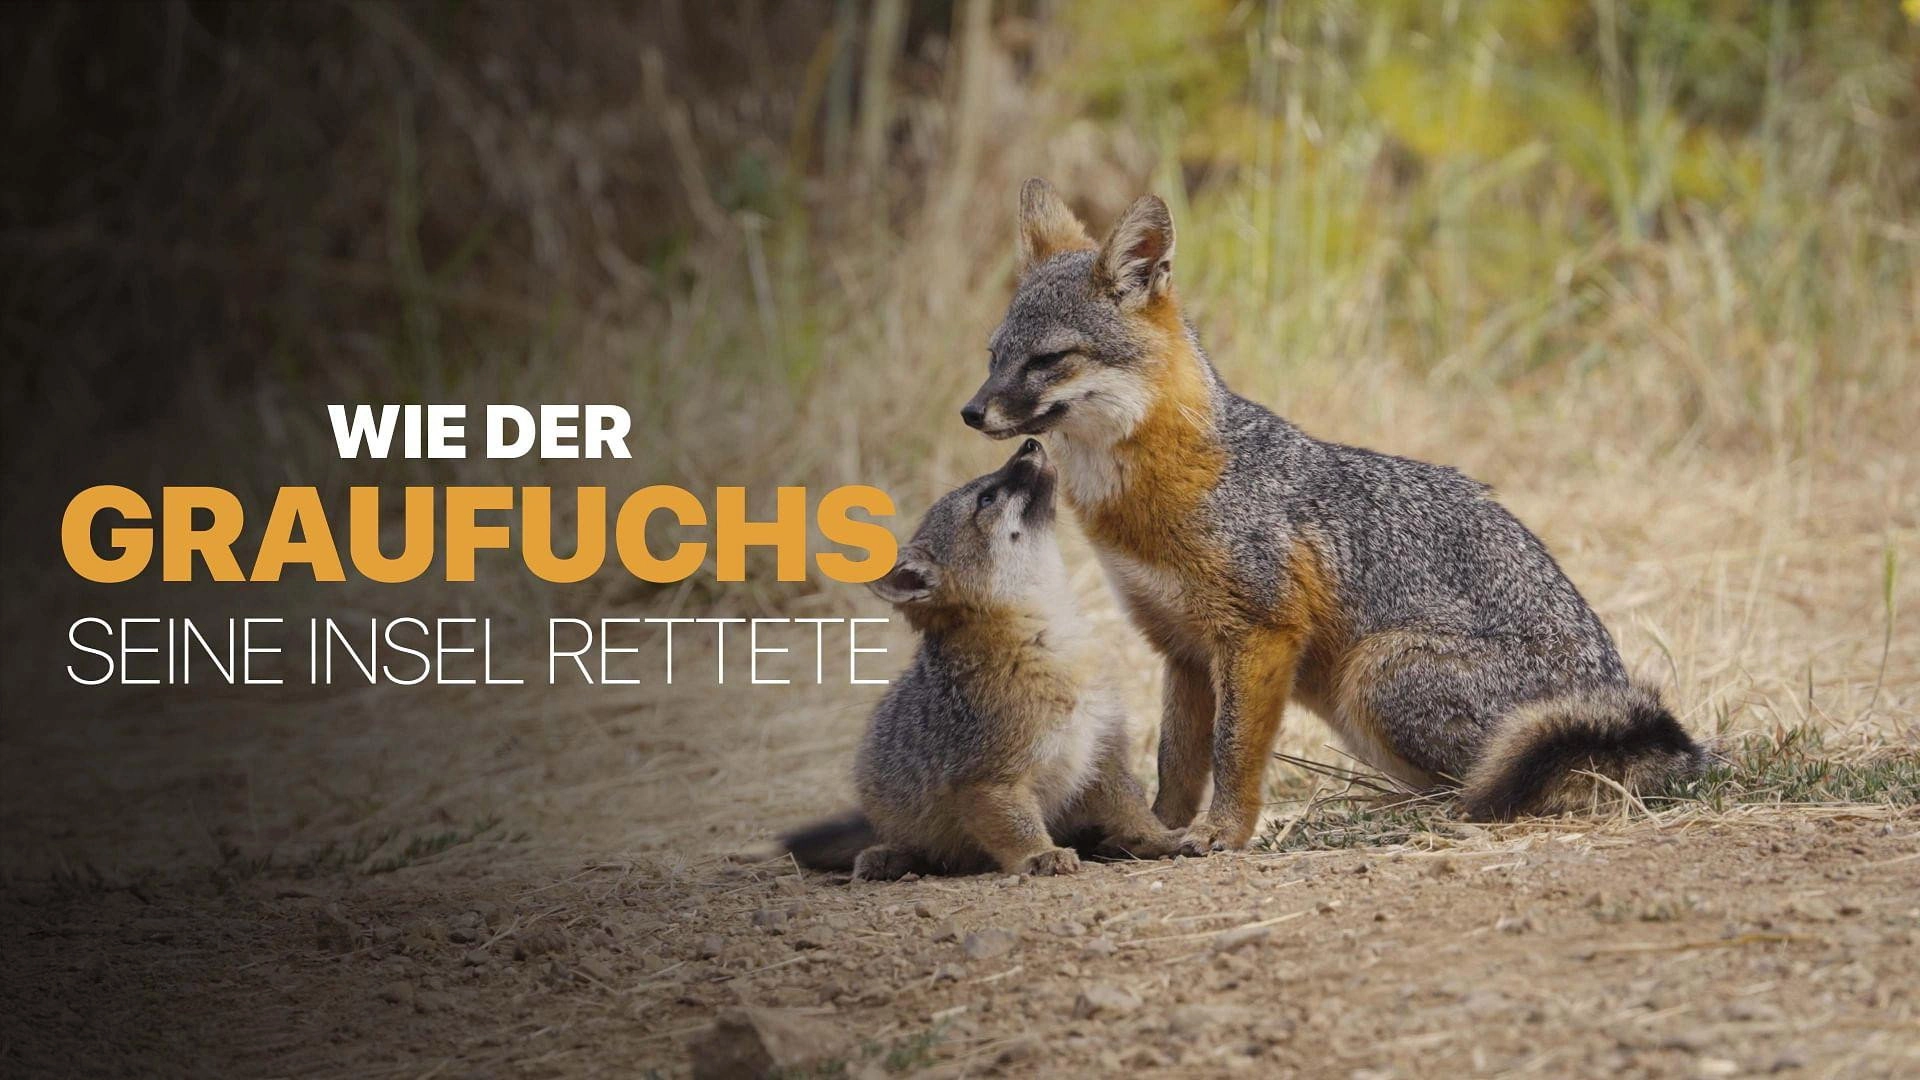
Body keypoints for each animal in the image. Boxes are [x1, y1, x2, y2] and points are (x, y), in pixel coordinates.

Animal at [783, 439, 1182, 879]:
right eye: (986, 499)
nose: (1030, 442)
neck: (1054, 644)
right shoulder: (986, 780)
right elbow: (1015, 827)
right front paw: (1039, 855)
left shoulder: (1102, 752)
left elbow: (1132, 808)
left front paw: (1158, 838)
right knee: (909, 846)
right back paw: (885, 856)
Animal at [958, 178, 1705, 854]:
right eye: (993, 356)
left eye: (1049, 360)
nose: (970, 411)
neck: (1158, 491)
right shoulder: (1182, 648)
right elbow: (1177, 762)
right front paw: (1158, 833)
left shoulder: (1260, 633)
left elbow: (1233, 753)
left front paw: (1223, 833)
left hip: (1374, 675)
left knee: (1503, 783)